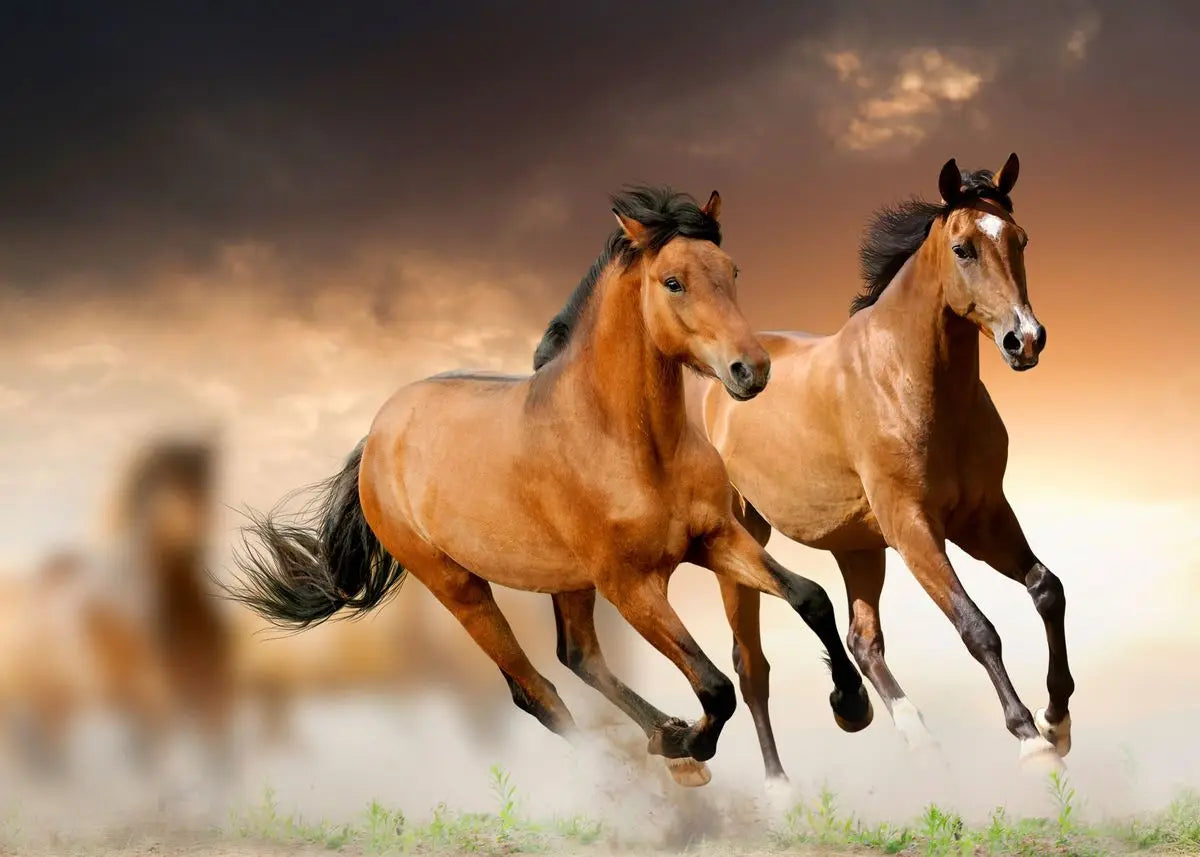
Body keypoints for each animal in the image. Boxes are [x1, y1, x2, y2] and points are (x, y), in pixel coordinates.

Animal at [227, 186, 871, 788]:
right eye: (673, 282)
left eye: (731, 271)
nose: (751, 370)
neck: (631, 443)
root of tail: (377, 437)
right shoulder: (631, 586)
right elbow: (714, 687)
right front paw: (691, 743)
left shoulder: (714, 538)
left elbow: (810, 597)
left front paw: (851, 706)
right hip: (460, 587)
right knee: (535, 691)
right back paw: (648, 765)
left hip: (568, 581)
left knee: (578, 656)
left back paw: (664, 738)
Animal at [689, 154, 1074, 783]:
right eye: (963, 248)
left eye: (1020, 239)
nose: (1026, 340)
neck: (908, 380)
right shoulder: (913, 527)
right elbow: (977, 627)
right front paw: (1029, 739)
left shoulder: (983, 517)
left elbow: (1047, 589)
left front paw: (1057, 719)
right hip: (743, 540)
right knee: (751, 667)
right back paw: (780, 787)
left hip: (858, 547)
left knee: (862, 641)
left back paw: (908, 734)